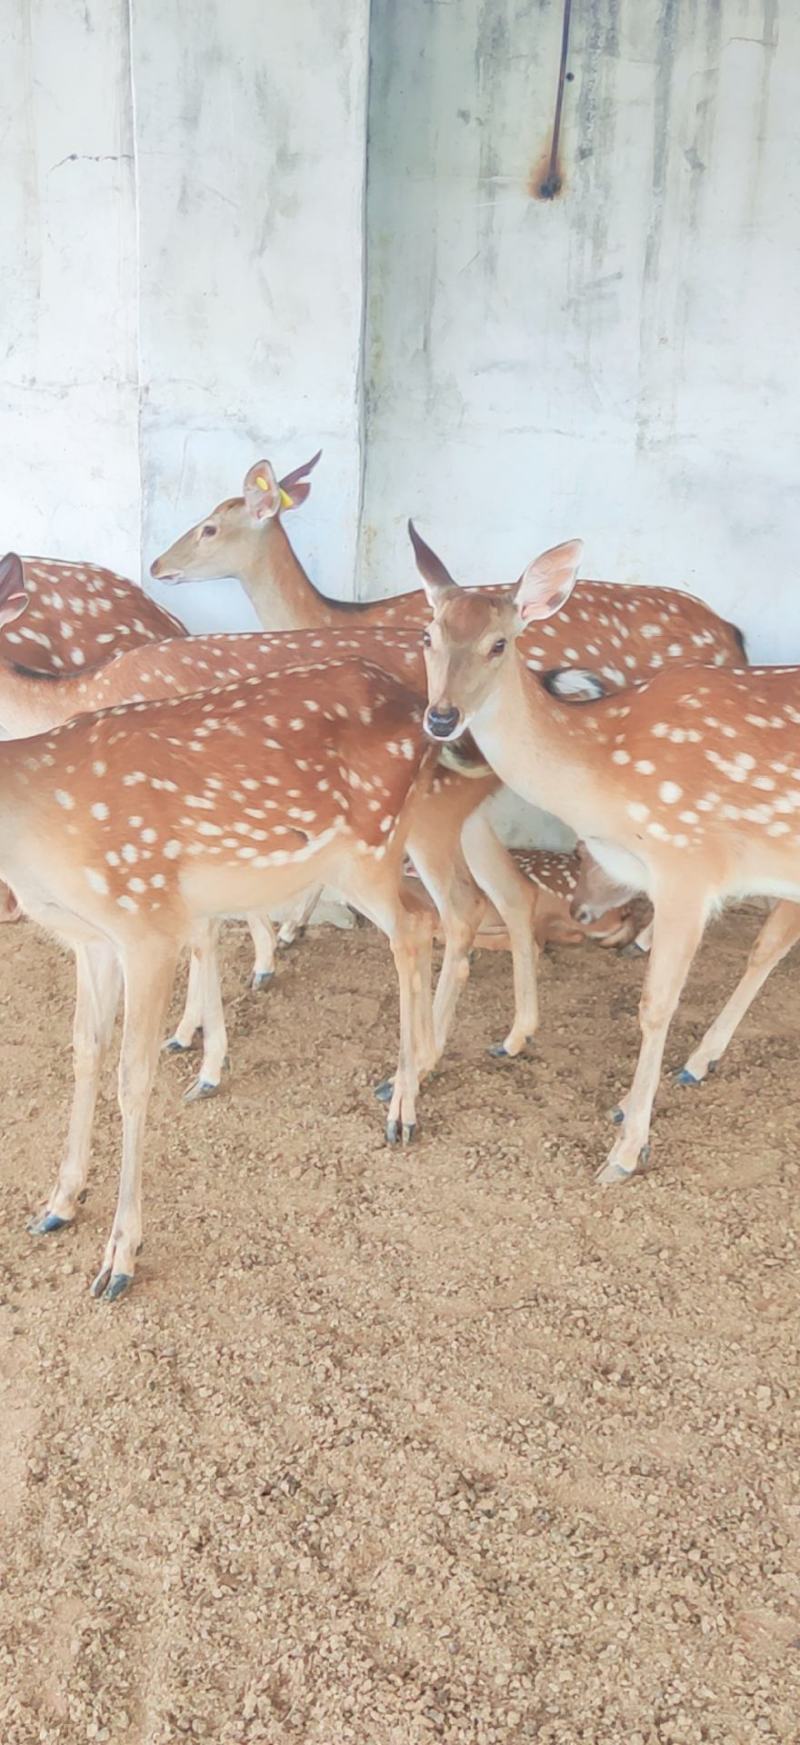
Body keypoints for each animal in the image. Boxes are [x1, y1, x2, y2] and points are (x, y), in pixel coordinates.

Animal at [411, 522, 800, 1185]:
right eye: (429, 634)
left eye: (499, 644)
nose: (442, 718)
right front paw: (627, 1109)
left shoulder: (688, 865)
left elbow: (655, 1004)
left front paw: (624, 1151)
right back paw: (701, 1061)